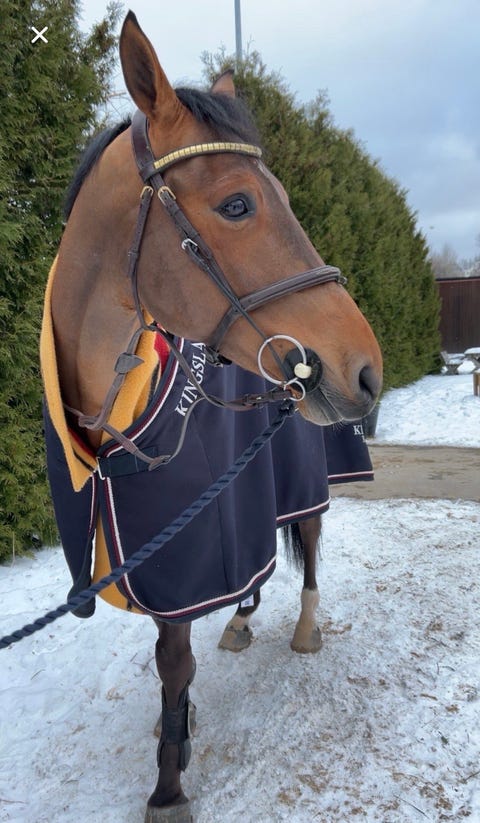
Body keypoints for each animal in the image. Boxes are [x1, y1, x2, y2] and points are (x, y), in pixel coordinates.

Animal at [41, 11, 382, 822]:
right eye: (236, 204)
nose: (366, 367)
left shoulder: (185, 548)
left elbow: (173, 659)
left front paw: (169, 784)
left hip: (303, 480)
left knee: (310, 543)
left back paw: (303, 628)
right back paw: (241, 617)